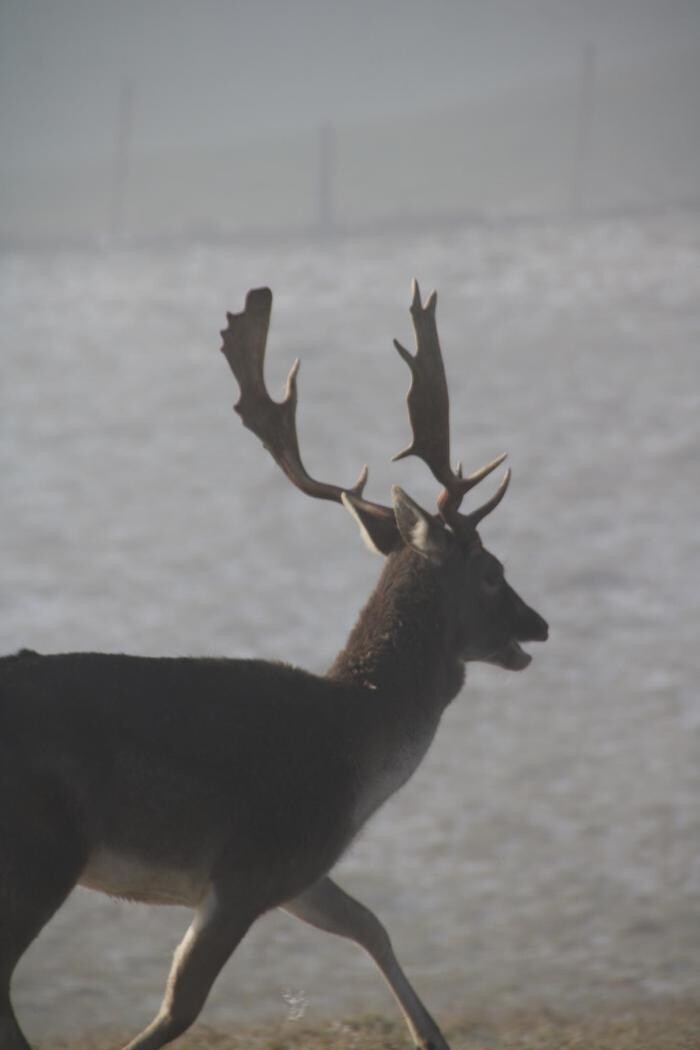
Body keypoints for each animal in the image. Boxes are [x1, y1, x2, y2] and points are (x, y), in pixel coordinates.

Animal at [0, 281, 545, 1050]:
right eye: (493, 572)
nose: (539, 624)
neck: (356, 744)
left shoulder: (300, 869)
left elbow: (371, 925)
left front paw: (431, 1037)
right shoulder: (252, 861)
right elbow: (180, 1005)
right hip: (40, 843)